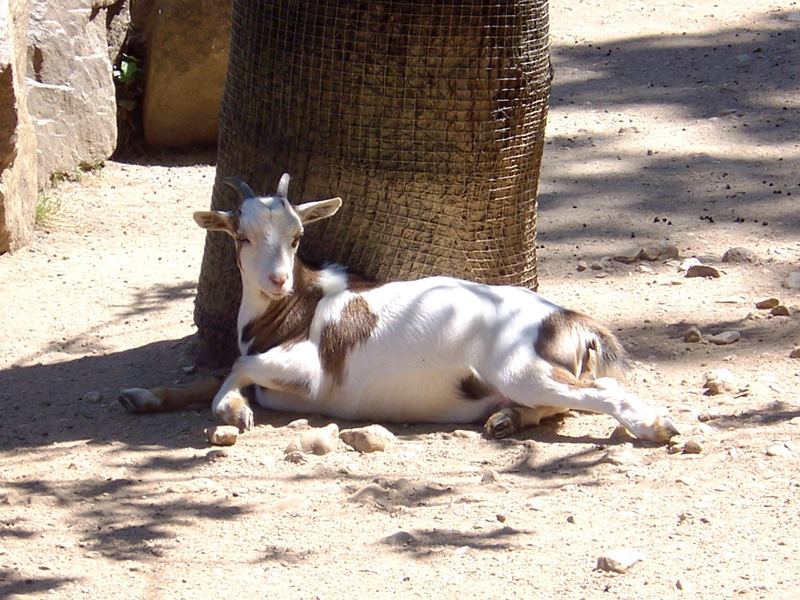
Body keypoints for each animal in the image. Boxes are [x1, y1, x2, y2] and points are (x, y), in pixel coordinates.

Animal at [119, 173, 680, 440]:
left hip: (523, 369)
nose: (277, 279)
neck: (295, 307)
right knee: (555, 405)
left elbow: (234, 373)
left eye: (297, 236)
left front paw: (235, 411)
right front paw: (140, 396)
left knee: (599, 392)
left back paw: (657, 427)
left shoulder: (309, 375)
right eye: (242, 236)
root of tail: (571, 320)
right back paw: (504, 420)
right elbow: (211, 377)